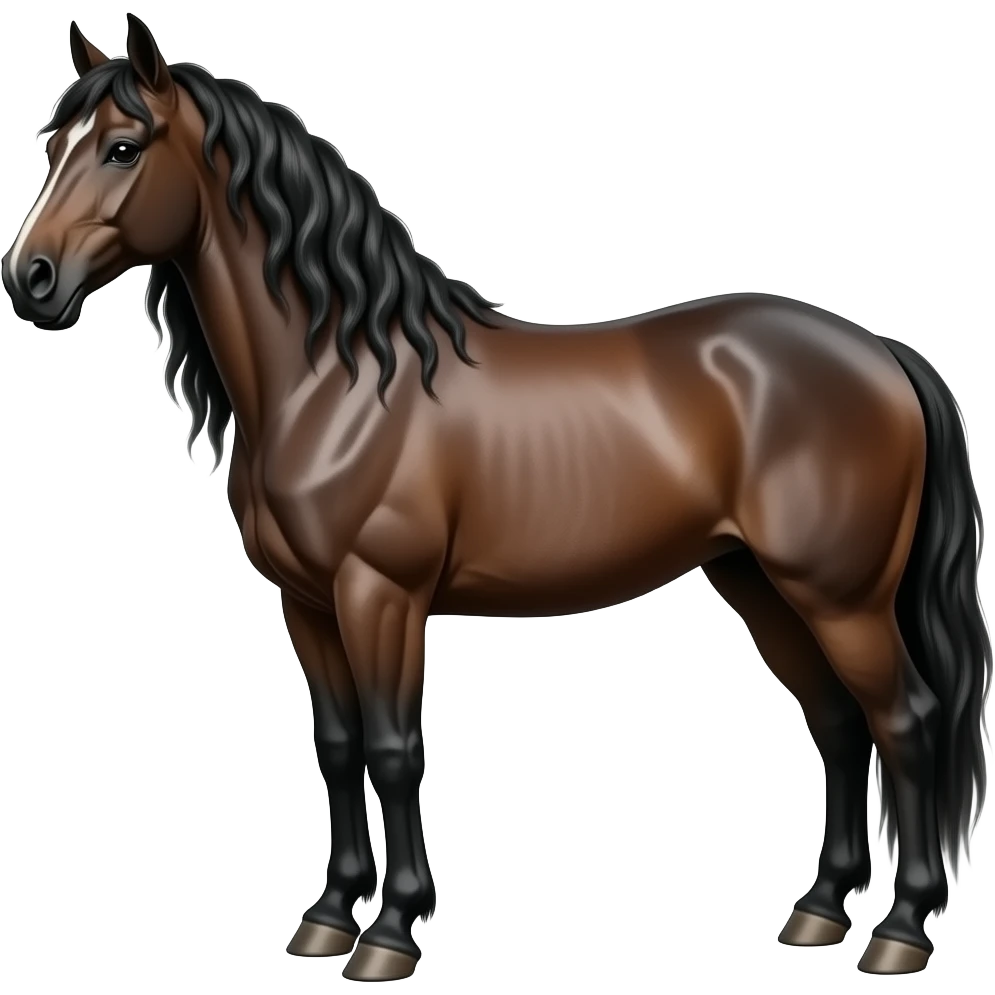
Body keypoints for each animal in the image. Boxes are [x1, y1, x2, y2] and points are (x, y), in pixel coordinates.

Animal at [3, 15, 990, 980]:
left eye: (123, 147)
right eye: (52, 145)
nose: (30, 279)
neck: (337, 381)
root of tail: (883, 353)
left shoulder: (381, 595)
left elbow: (394, 751)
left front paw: (389, 934)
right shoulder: (306, 602)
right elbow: (338, 749)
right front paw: (327, 917)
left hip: (840, 596)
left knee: (905, 721)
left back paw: (900, 930)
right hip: (759, 584)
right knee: (838, 724)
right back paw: (819, 911)